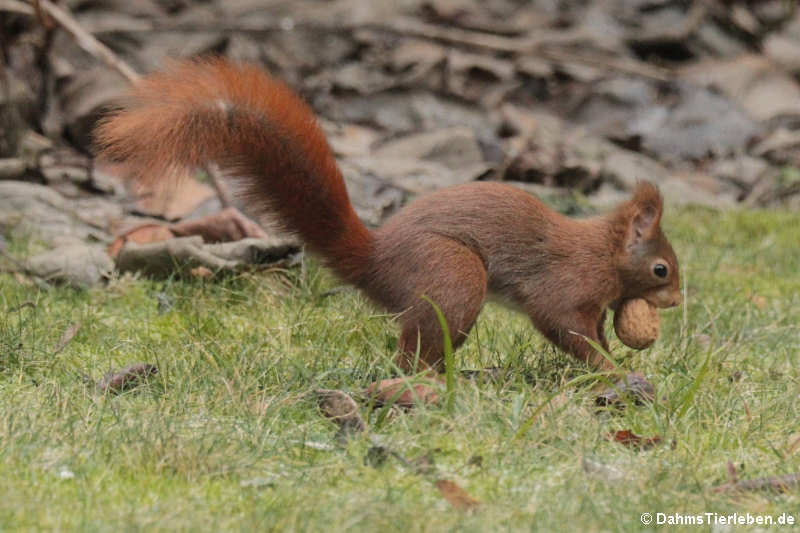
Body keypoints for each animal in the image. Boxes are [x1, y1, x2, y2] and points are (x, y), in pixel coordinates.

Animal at [95, 58, 680, 400]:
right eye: (661, 269)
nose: (676, 301)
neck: (603, 252)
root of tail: (374, 261)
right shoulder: (567, 285)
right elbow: (564, 326)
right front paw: (610, 371)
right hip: (453, 277)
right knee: (413, 354)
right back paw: (437, 384)